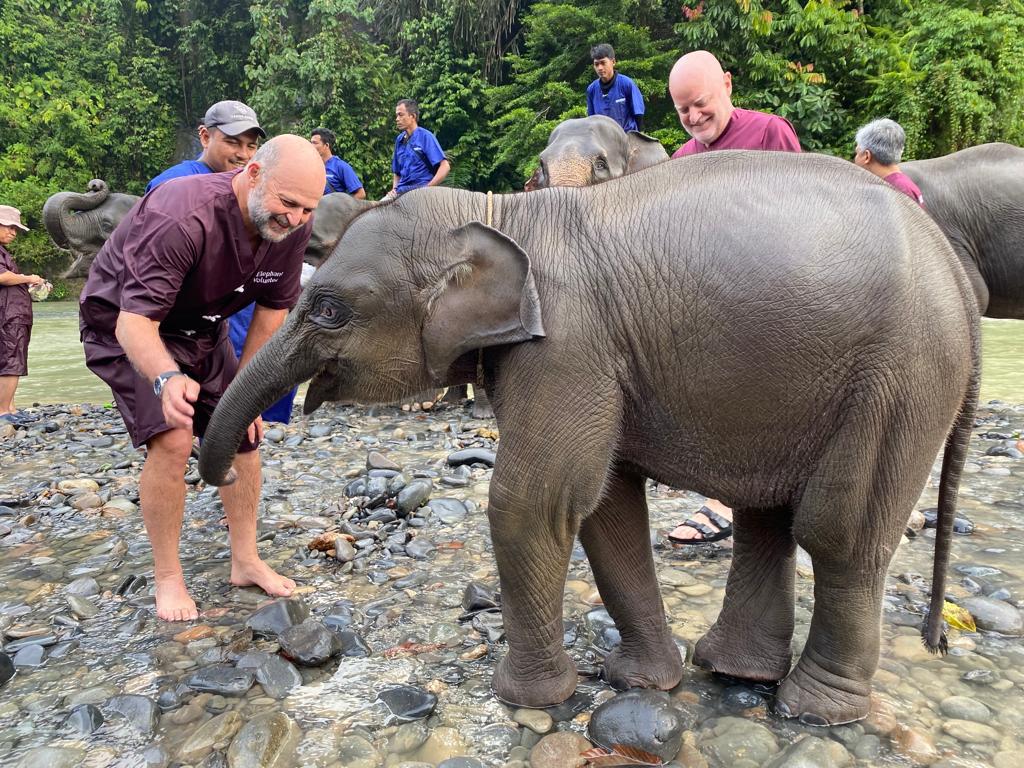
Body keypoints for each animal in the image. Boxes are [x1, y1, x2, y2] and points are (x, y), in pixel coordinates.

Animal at [197, 151, 974, 729]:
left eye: (328, 309)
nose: (227, 469)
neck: (496, 213)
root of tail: (956, 268)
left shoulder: (566, 346)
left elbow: (532, 502)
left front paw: (525, 697)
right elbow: (606, 507)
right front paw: (639, 681)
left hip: (901, 377)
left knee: (839, 531)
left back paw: (814, 710)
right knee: (770, 517)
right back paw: (732, 670)